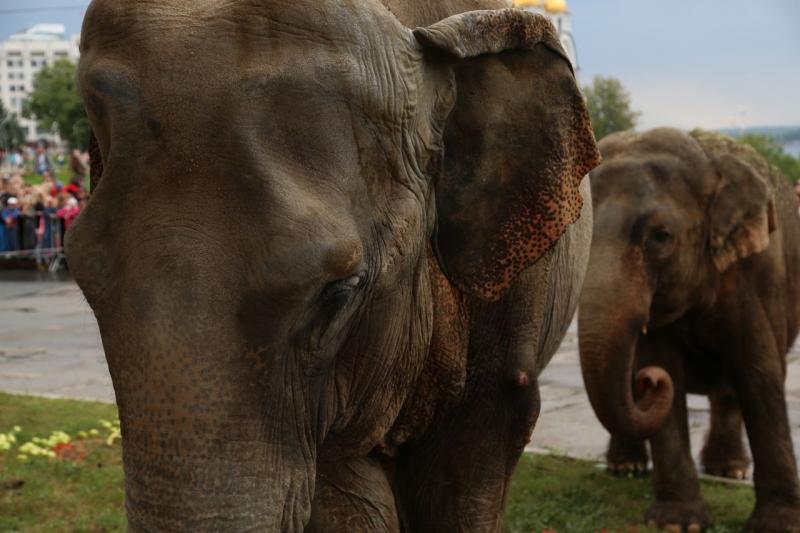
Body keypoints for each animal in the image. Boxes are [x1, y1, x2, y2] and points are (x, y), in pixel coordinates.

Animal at [580, 127, 800, 528]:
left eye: (661, 237)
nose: (646, 381)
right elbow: (666, 366)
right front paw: (678, 522)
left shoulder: (755, 275)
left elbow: (759, 373)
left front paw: (779, 526)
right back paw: (625, 467)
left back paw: (728, 470)